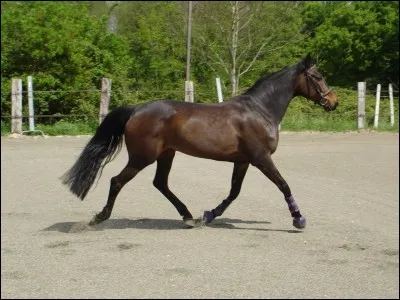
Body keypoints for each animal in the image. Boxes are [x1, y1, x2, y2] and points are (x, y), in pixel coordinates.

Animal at [61, 54, 338, 229]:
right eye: (318, 76)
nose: (334, 102)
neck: (260, 110)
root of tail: (136, 109)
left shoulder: (243, 161)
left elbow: (234, 192)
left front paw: (209, 215)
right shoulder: (261, 159)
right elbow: (284, 185)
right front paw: (299, 219)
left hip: (166, 154)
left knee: (160, 183)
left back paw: (189, 217)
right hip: (143, 157)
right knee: (117, 181)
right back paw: (100, 217)